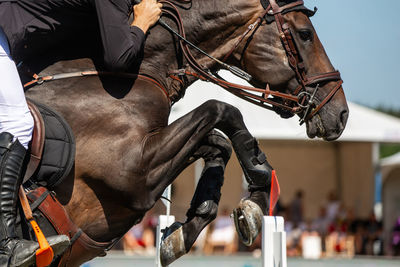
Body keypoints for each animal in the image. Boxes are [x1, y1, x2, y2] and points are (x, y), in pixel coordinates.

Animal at [21, 0, 346, 266]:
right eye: (305, 34)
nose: (341, 113)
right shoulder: (133, 174)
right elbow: (222, 109)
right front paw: (258, 186)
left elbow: (218, 143)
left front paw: (183, 234)